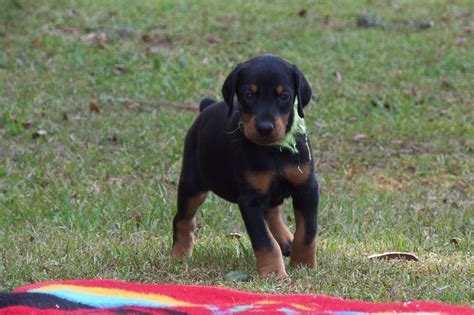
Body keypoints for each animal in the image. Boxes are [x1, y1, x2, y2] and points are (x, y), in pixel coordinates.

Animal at [170, 55, 318, 278]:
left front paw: (304, 265)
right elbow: (265, 241)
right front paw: (275, 274)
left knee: (273, 210)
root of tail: (207, 107)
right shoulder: (250, 199)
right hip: (193, 182)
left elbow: (307, 233)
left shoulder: (307, 187)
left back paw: (285, 240)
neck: (273, 151)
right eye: (249, 94)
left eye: (284, 96)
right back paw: (179, 253)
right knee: (183, 218)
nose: (265, 128)